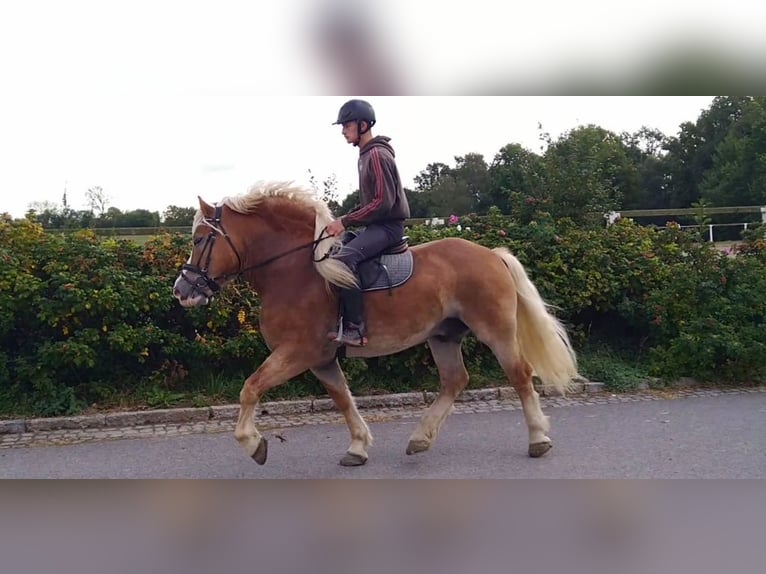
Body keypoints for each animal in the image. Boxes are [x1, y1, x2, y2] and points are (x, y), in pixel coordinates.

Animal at [172, 181, 580, 467]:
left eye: (200, 239)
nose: (181, 290)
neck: (293, 269)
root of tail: (491, 255)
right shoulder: (321, 359)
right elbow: (342, 399)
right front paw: (357, 446)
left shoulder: (298, 351)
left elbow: (251, 388)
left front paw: (254, 443)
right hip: (443, 336)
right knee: (454, 380)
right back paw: (421, 438)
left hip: (496, 331)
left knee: (520, 375)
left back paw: (538, 439)